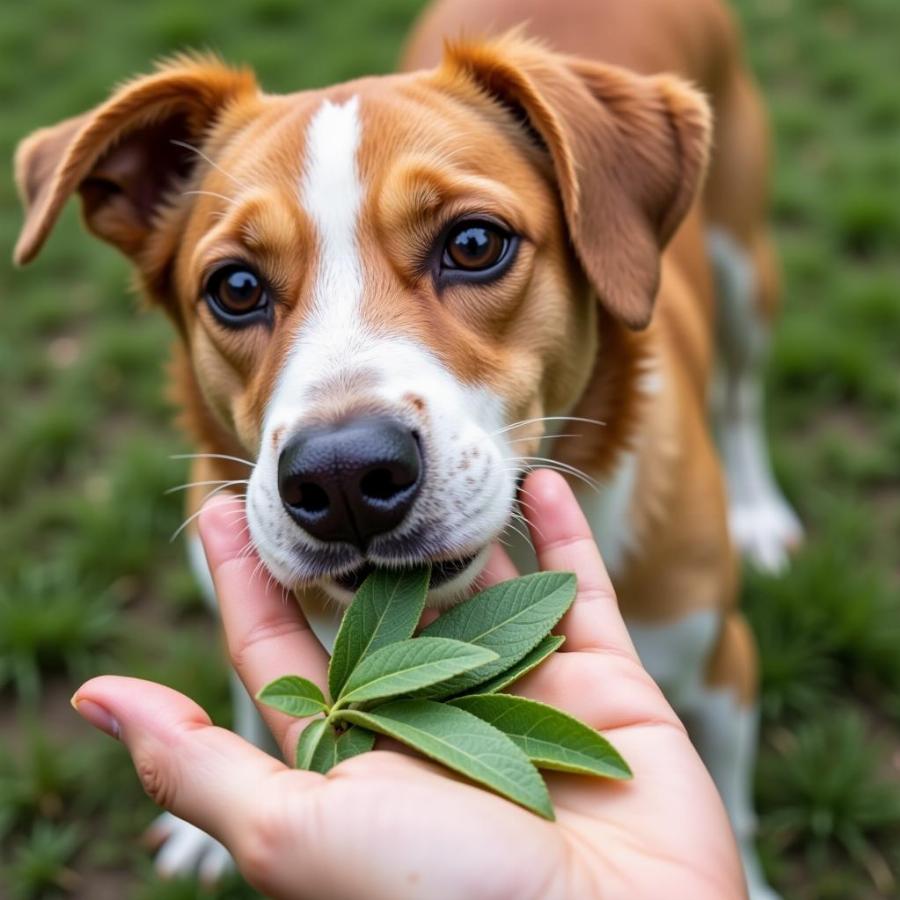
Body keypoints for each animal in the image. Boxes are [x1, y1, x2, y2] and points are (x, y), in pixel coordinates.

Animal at [15, 3, 800, 896]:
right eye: (236, 288)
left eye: (474, 244)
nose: (343, 477)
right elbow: (250, 695)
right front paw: (201, 833)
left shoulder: (723, 667)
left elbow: (728, 807)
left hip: (745, 271)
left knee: (740, 392)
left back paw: (759, 511)